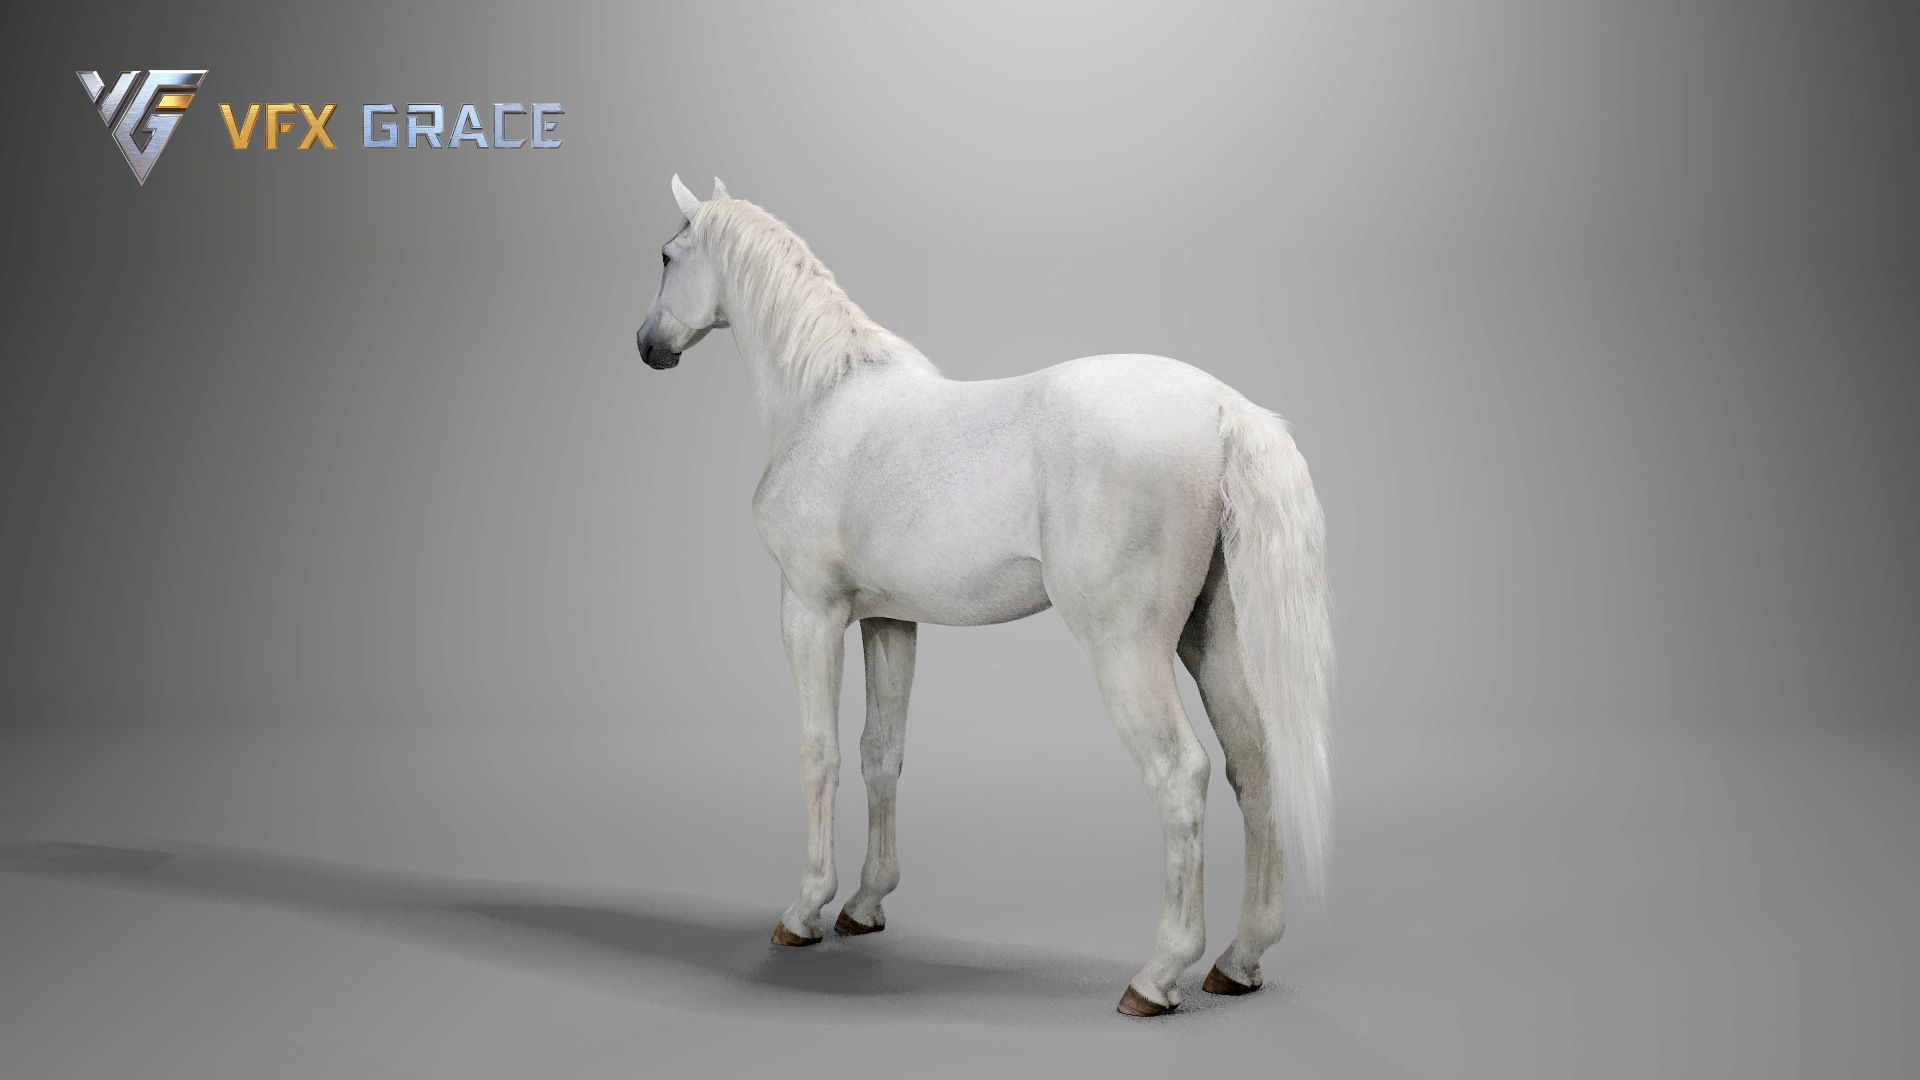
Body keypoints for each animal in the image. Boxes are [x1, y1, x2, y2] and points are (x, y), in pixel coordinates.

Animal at [634, 176, 1332, 1016]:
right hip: (1209, 630)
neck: (825, 401)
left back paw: (1158, 975)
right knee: (1252, 761)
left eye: (667, 254)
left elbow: (818, 752)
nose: (647, 345)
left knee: (1180, 773)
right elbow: (880, 754)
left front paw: (804, 911)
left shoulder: (809, 611)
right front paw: (864, 905)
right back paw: (1240, 959)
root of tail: (1221, 408)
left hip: (1127, 648)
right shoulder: (889, 621)